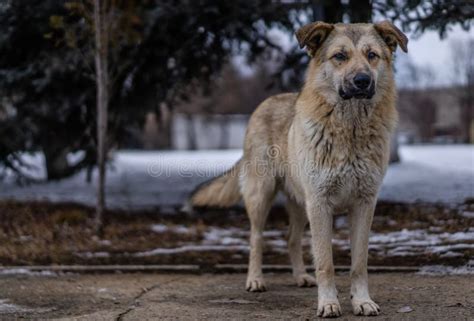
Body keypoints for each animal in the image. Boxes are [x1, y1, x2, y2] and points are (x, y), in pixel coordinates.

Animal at [189, 20, 408, 318]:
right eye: (340, 56)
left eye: (372, 55)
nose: (362, 80)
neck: (350, 129)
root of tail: (266, 102)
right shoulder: (320, 203)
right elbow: (326, 263)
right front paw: (328, 303)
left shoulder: (364, 203)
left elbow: (359, 263)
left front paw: (361, 301)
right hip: (263, 196)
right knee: (256, 238)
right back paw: (255, 280)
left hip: (300, 204)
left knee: (291, 238)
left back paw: (301, 277)